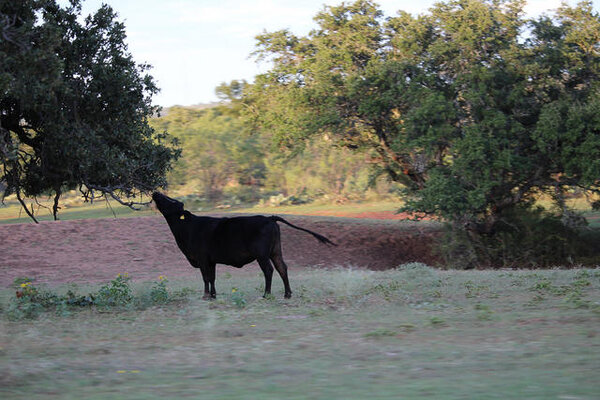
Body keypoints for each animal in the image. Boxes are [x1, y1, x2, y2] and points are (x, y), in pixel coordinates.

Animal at [152, 192, 336, 298]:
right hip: (276, 251)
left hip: (262, 255)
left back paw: (266, 294)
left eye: (172, 201)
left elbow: (206, 277)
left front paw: (205, 296)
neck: (188, 228)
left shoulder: (202, 258)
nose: (155, 192)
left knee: (269, 270)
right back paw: (287, 294)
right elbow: (212, 277)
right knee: (282, 268)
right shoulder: (211, 261)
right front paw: (213, 295)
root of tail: (269, 217)